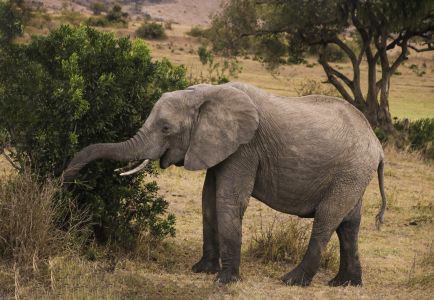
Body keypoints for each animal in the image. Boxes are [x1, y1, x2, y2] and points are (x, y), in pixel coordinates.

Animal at [62, 81, 384, 286]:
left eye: (166, 128)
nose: (65, 183)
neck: (207, 93)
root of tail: (378, 145)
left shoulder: (245, 148)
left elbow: (228, 199)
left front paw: (224, 281)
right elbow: (208, 199)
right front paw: (201, 270)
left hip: (351, 171)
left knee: (327, 220)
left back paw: (293, 281)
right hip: (353, 174)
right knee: (349, 224)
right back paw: (345, 284)